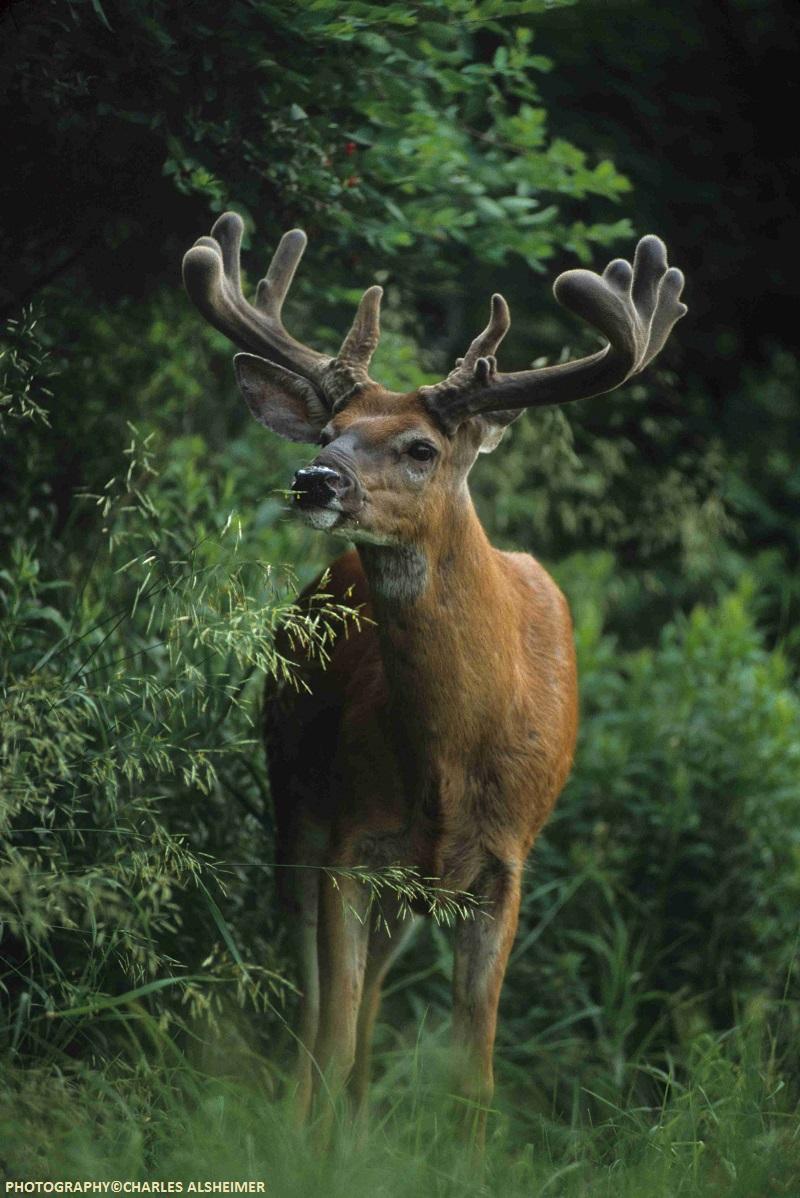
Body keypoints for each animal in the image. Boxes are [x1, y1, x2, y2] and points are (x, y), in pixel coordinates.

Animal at [183, 210, 689, 1135]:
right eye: (328, 432)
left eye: (420, 447)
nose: (315, 479)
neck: (457, 754)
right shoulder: (352, 841)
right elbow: (332, 1025)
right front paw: (308, 1149)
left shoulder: (504, 866)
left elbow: (473, 1071)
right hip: (293, 799)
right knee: (319, 1005)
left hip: (405, 885)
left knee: (375, 997)